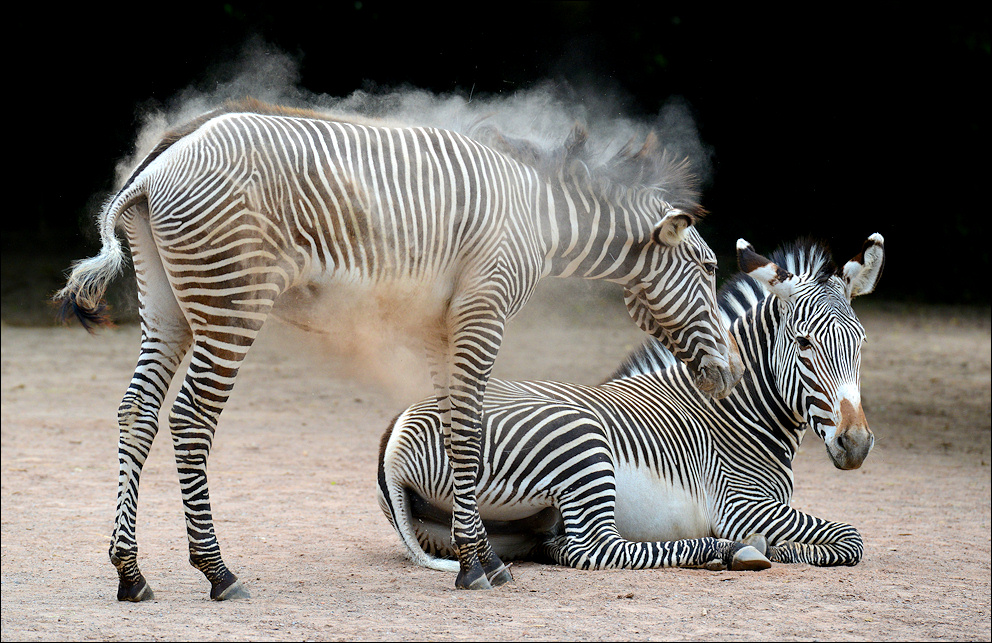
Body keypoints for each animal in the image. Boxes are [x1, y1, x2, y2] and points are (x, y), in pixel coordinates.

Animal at [52, 99, 736, 600]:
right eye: (707, 267)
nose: (727, 375)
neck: (539, 213)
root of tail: (165, 153)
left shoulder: (440, 324)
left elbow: (459, 423)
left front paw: (480, 553)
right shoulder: (484, 309)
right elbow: (468, 425)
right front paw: (475, 565)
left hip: (166, 304)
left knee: (136, 412)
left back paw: (131, 574)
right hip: (230, 301)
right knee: (192, 418)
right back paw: (218, 573)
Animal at [378, 234, 884, 572]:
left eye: (861, 343)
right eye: (803, 343)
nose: (857, 444)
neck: (739, 412)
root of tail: (395, 439)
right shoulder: (741, 505)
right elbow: (851, 539)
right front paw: (774, 548)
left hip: (497, 529)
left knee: (557, 545)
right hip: (582, 446)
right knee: (596, 548)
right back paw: (728, 551)